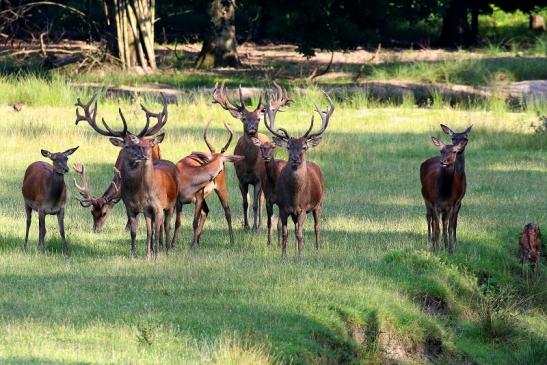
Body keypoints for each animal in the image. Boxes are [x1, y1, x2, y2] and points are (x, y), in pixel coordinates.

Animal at [74, 95, 182, 258]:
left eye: (104, 213)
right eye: (92, 212)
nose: (96, 229)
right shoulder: (129, 205)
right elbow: (134, 229)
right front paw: (134, 252)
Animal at [176, 119, 244, 247]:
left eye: (223, 163)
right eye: (207, 160)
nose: (216, 174)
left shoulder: (198, 197)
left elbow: (194, 222)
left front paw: (193, 245)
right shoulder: (179, 200)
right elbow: (177, 222)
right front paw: (172, 244)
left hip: (221, 189)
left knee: (227, 212)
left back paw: (231, 241)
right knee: (205, 212)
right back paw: (196, 240)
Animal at [213, 81, 294, 232]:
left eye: (257, 119)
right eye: (244, 119)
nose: (252, 129)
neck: (249, 163)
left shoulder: (257, 180)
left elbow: (256, 204)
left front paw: (255, 227)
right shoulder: (241, 179)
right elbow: (245, 203)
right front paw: (246, 226)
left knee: (261, 200)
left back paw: (260, 224)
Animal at [264, 91, 336, 256]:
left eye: (304, 147)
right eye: (288, 147)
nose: (295, 158)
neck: (295, 196)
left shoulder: (303, 208)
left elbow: (300, 234)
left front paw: (299, 256)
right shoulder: (283, 207)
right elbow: (286, 232)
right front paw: (284, 255)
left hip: (319, 203)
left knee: (316, 227)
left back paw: (317, 248)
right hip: (296, 212)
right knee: (297, 226)